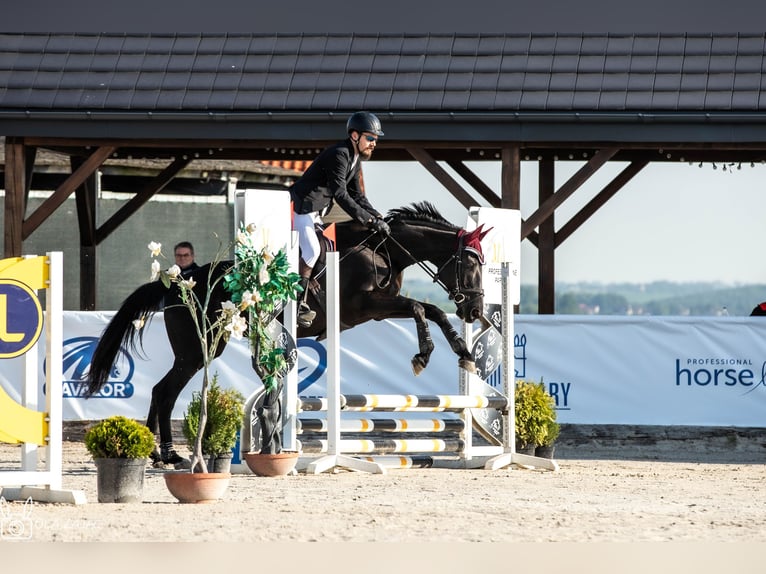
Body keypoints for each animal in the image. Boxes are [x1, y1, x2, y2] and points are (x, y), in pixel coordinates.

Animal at [87, 204, 488, 468]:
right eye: (470, 264)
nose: (475, 311)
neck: (385, 250)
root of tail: (178, 281)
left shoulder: (376, 309)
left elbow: (430, 310)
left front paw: (461, 351)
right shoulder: (366, 306)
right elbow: (422, 308)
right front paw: (428, 354)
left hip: (200, 349)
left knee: (159, 390)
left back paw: (155, 454)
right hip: (197, 350)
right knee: (165, 391)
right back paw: (171, 455)